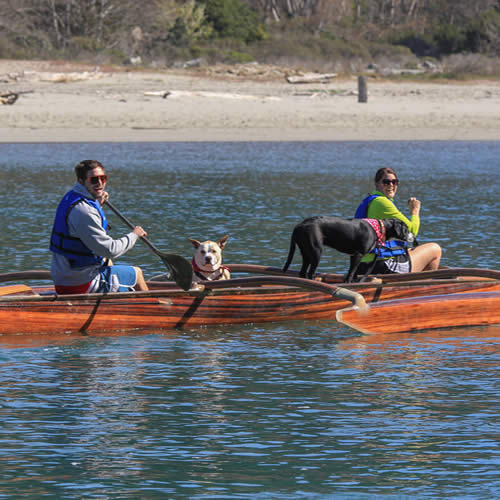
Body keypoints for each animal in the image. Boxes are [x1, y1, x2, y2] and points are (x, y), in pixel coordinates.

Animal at [284, 217, 412, 284]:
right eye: (406, 229)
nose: (412, 236)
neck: (380, 228)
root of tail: (300, 225)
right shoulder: (359, 254)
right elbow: (351, 272)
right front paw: (349, 283)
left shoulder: (354, 255)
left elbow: (353, 271)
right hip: (316, 251)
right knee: (310, 273)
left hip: (306, 253)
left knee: (302, 273)